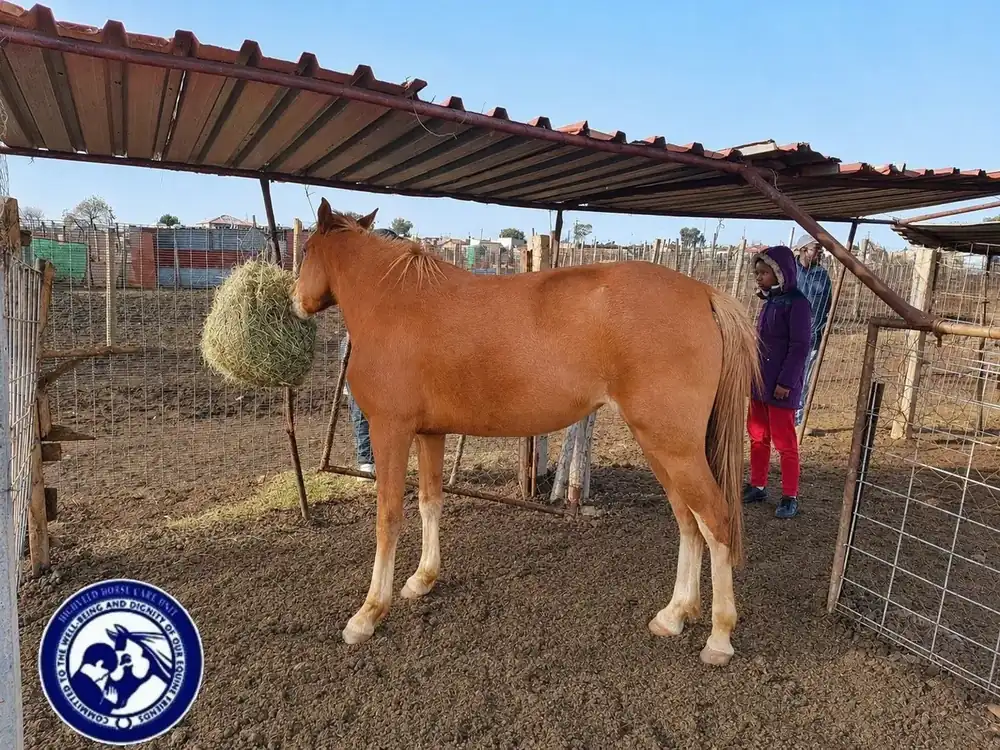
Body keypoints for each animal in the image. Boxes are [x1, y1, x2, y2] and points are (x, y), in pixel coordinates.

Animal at [292, 198, 761, 666]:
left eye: (306, 250)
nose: (296, 301)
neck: (393, 301)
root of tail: (703, 292)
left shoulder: (390, 431)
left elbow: (387, 519)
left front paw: (368, 613)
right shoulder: (430, 433)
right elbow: (430, 503)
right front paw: (423, 578)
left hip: (673, 447)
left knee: (715, 520)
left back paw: (719, 636)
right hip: (662, 446)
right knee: (689, 522)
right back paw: (675, 613)